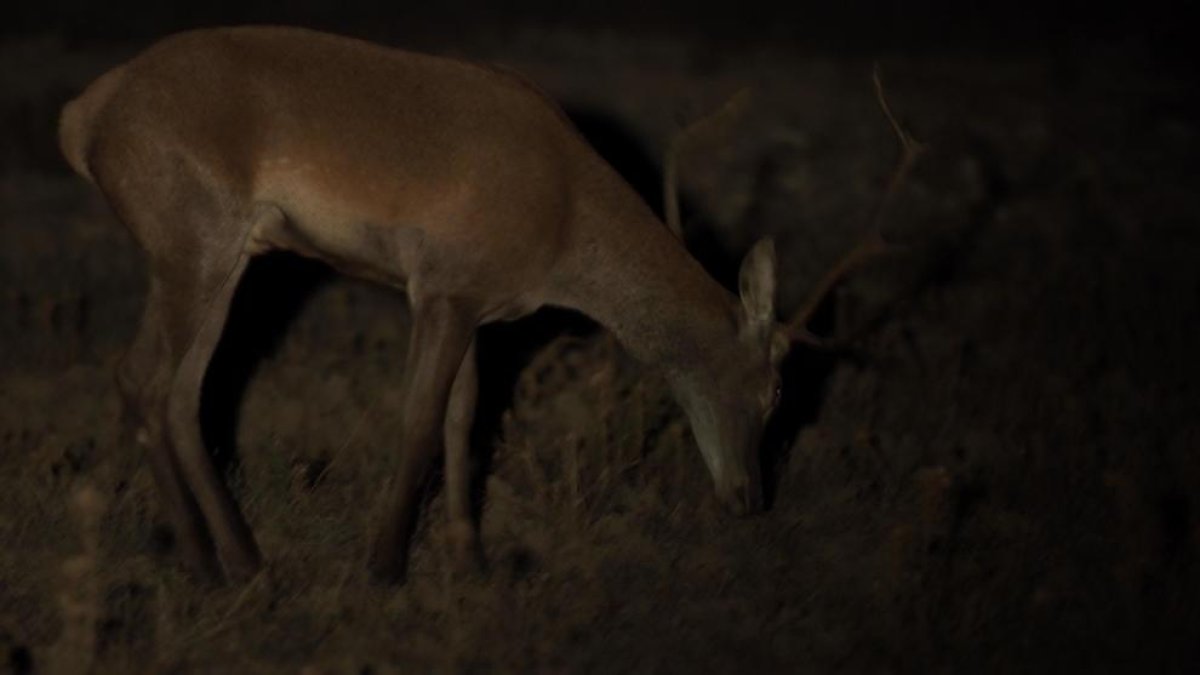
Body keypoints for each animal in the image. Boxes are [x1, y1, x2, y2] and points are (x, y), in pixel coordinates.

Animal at [58, 26, 921, 585]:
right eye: (774, 389)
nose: (750, 498)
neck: (564, 230)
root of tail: (83, 117)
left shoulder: (478, 304)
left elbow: (463, 422)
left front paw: (471, 558)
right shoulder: (444, 283)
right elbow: (416, 421)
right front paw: (384, 566)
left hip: (227, 251)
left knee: (179, 391)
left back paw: (240, 560)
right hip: (192, 232)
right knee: (141, 377)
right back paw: (212, 563)